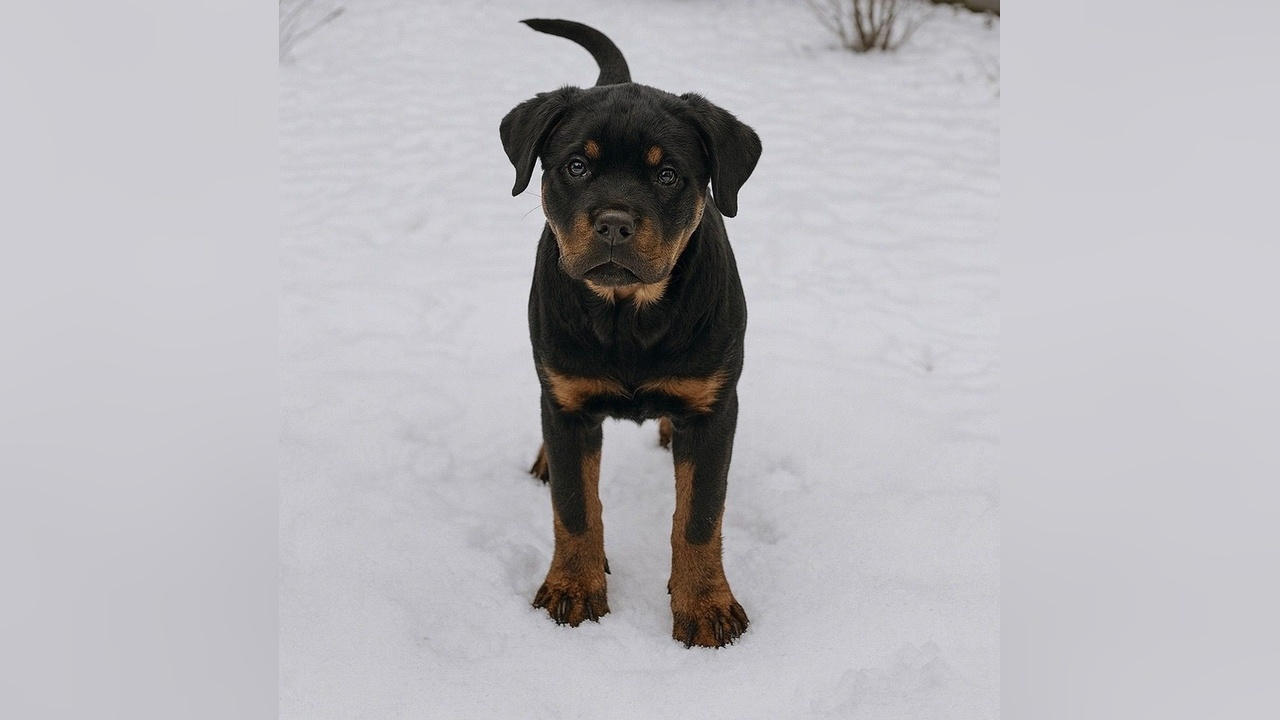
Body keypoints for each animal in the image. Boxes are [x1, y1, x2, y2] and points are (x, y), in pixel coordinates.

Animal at [500, 19, 761, 648]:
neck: (627, 316)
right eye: (577, 166)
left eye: (667, 175)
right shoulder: (568, 403)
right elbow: (575, 508)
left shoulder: (715, 411)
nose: (615, 223)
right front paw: (573, 588)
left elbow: (699, 518)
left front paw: (706, 607)